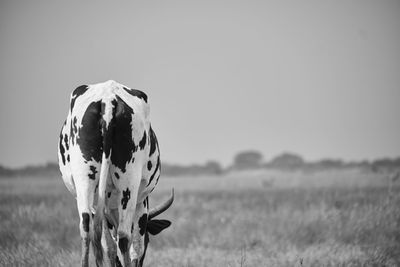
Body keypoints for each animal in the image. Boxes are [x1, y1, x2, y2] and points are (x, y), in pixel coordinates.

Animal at [57, 80, 173, 267]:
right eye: (149, 240)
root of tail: (108, 100)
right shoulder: (141, 204)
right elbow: (135, 246)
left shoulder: (102, 206)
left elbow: (109, 245)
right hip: (129, 184)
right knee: (124, 235)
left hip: (85, 179)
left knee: (87, 228)